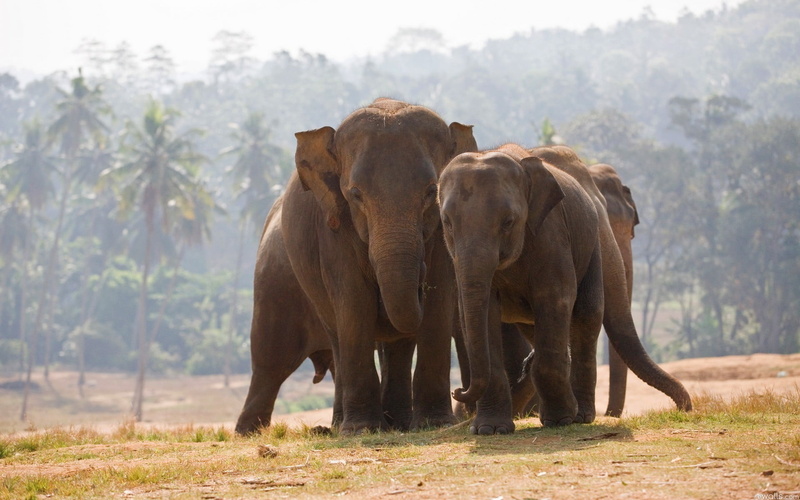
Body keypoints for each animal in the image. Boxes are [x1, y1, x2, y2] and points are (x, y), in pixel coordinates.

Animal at [241, 98, 477, 435]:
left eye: (432, 191)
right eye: (355, 194)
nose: (459, 391)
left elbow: (437, 305)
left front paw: (433, 424)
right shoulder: (334, 228)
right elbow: (354, 303)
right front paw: (363, 430)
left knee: (396, 345)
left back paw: (395, 423)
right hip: (274, 285)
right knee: (273, 360)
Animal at [438, 143, 691, 435]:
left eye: (508, 222)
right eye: (447, 222)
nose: (457, 390)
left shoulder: (553, 232)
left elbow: (556, 297)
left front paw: (559, 421)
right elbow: (482, 310)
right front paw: (489, 430)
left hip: (590, 249)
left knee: (586, 315)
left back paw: (579, 415)